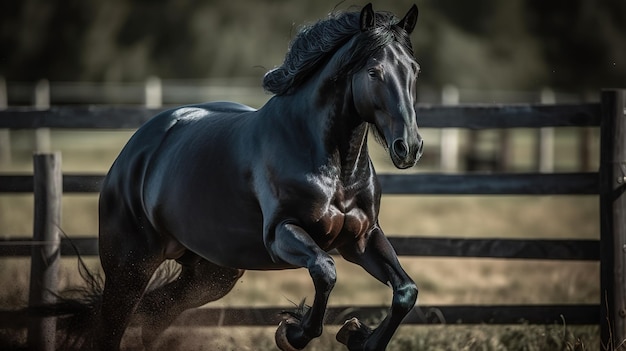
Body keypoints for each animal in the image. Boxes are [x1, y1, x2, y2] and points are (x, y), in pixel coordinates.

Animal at [96, 4, 420, 350]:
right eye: (374, 71)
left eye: (414, 70)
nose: (409, 147)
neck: (334, 169)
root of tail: (135, 148)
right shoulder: (281, 233)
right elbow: (325, 271)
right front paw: (293, 332)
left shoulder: (362, 239)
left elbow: (406, 292)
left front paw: (358, 335)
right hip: (130, 267)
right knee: (114, 324)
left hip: (211, 273)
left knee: (155, 311)